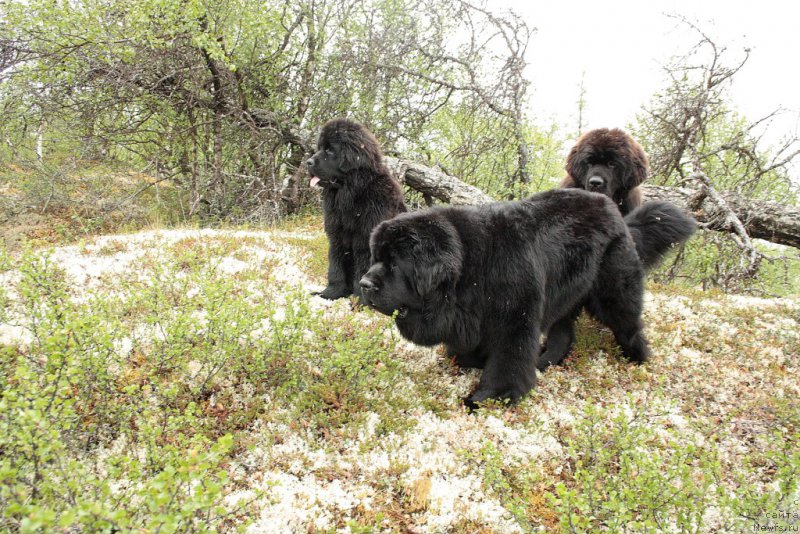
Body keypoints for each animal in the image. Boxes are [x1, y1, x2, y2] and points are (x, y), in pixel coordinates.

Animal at [306, 120, 406, 302]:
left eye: (330, 150)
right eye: (320, 147)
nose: (308, 162)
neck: (352, 193)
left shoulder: (365, 239)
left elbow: (362, 270)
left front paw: (361, 301)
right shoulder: (337, 235)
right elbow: (336, 266)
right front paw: (329, 293)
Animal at [360, 191, 692, 408]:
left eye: (395, 264)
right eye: (376, 258)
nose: (363, 284)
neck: (471, 268)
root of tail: (618, 216)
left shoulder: (515, 317)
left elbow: (509, 360)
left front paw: (487, 398)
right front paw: (472, 362)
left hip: (613, 289)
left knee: (627, 321)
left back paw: (638, 357)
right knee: (563, 331)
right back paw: (547, 360)